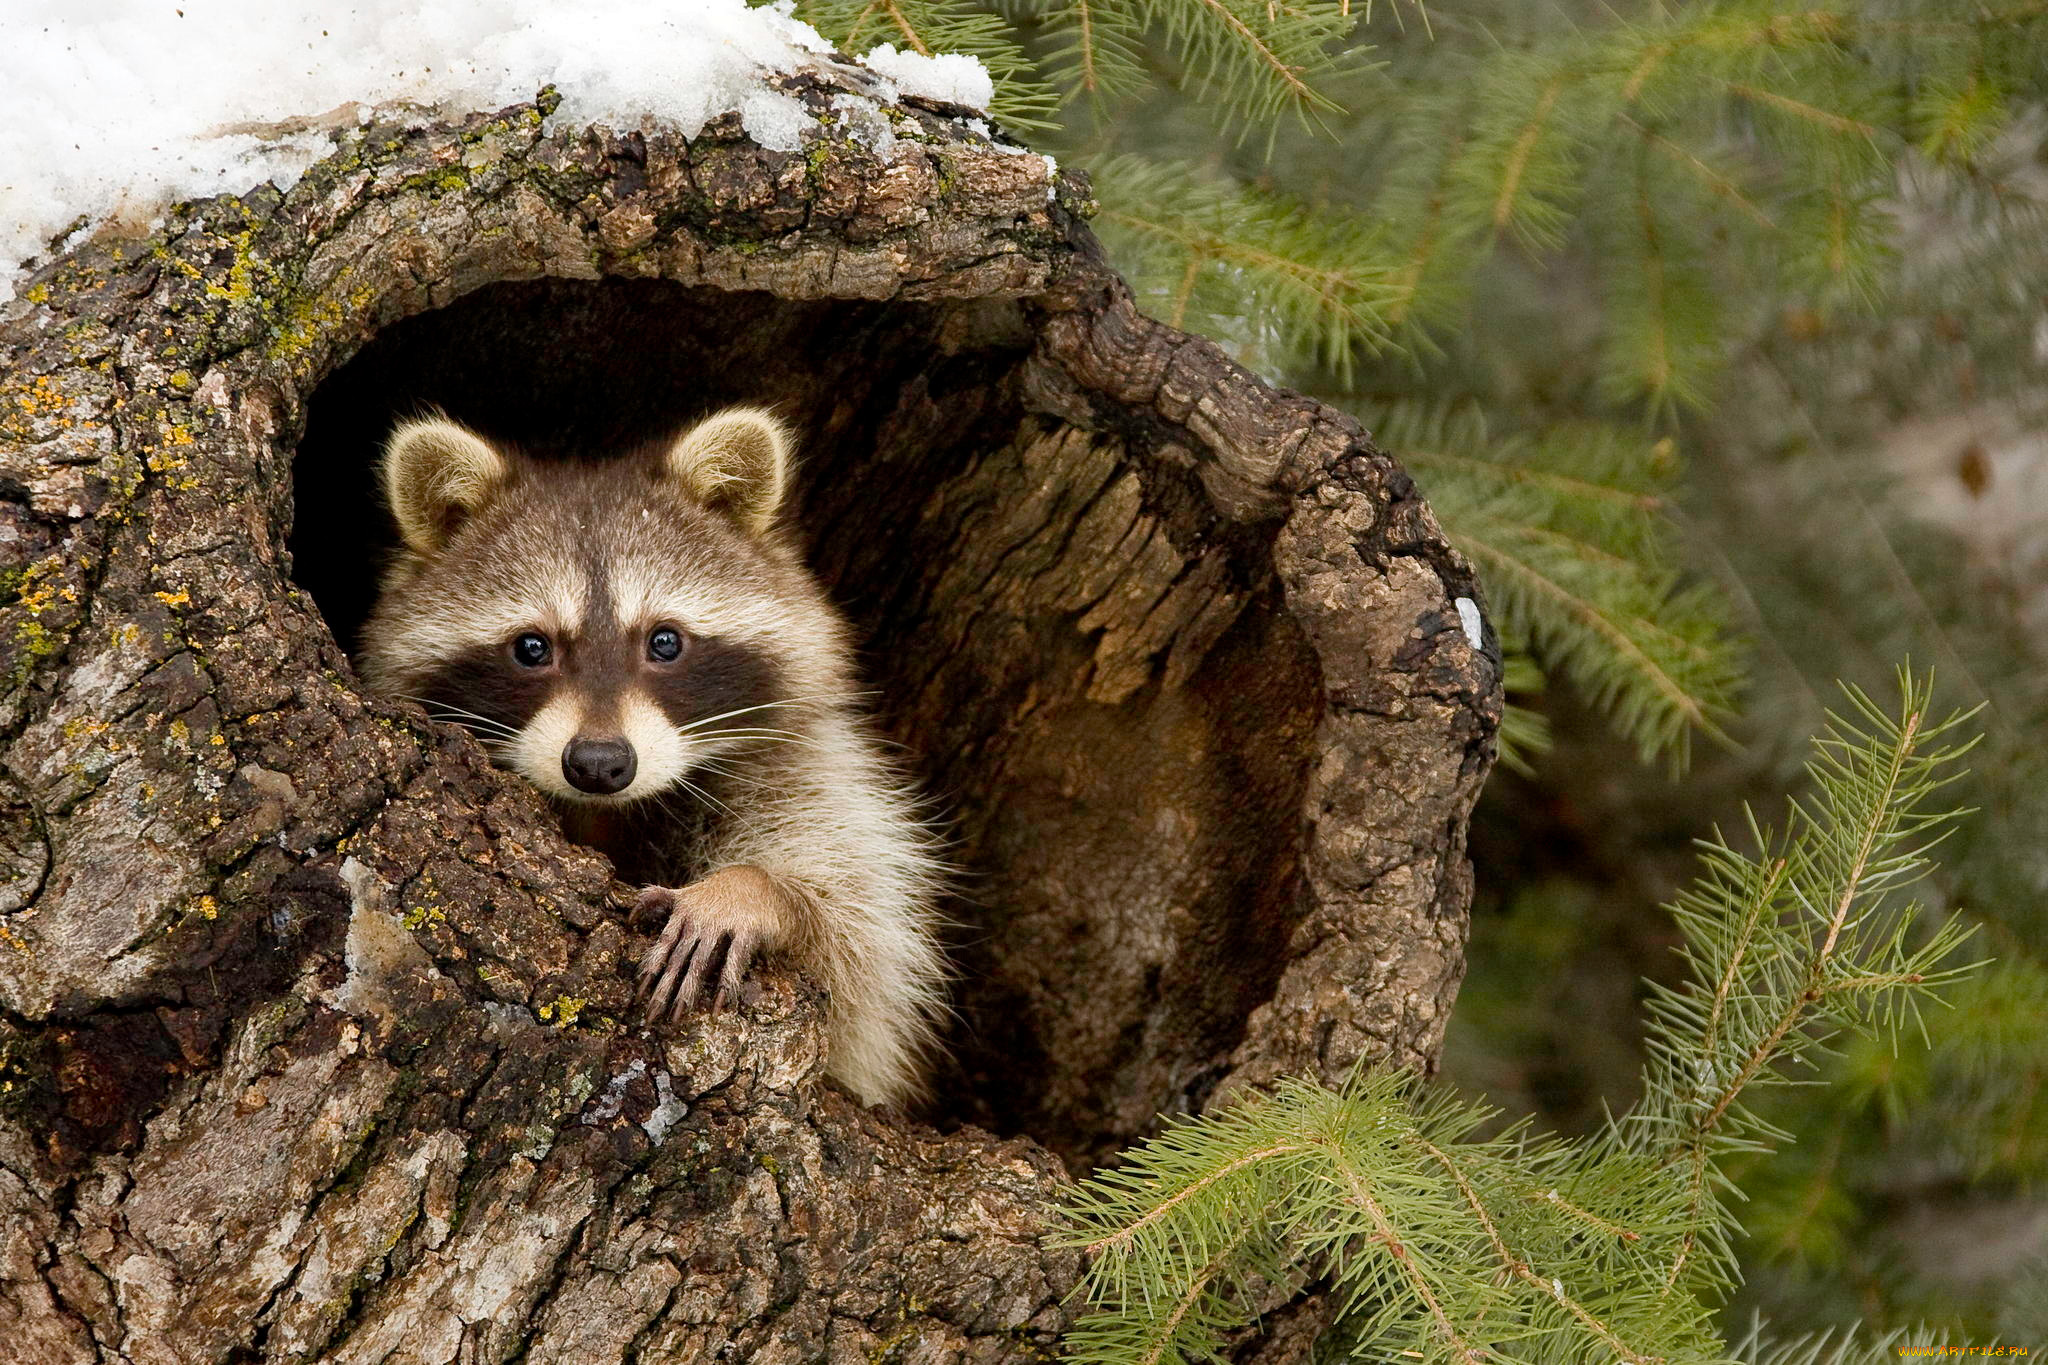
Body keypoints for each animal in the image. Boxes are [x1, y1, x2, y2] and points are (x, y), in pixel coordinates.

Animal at [356, 409, 946, 1113]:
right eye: (532, 648)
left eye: (664, 641)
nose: (598, 763)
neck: (606, 812)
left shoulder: (805, 765)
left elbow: (860, 944)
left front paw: (753, 889)